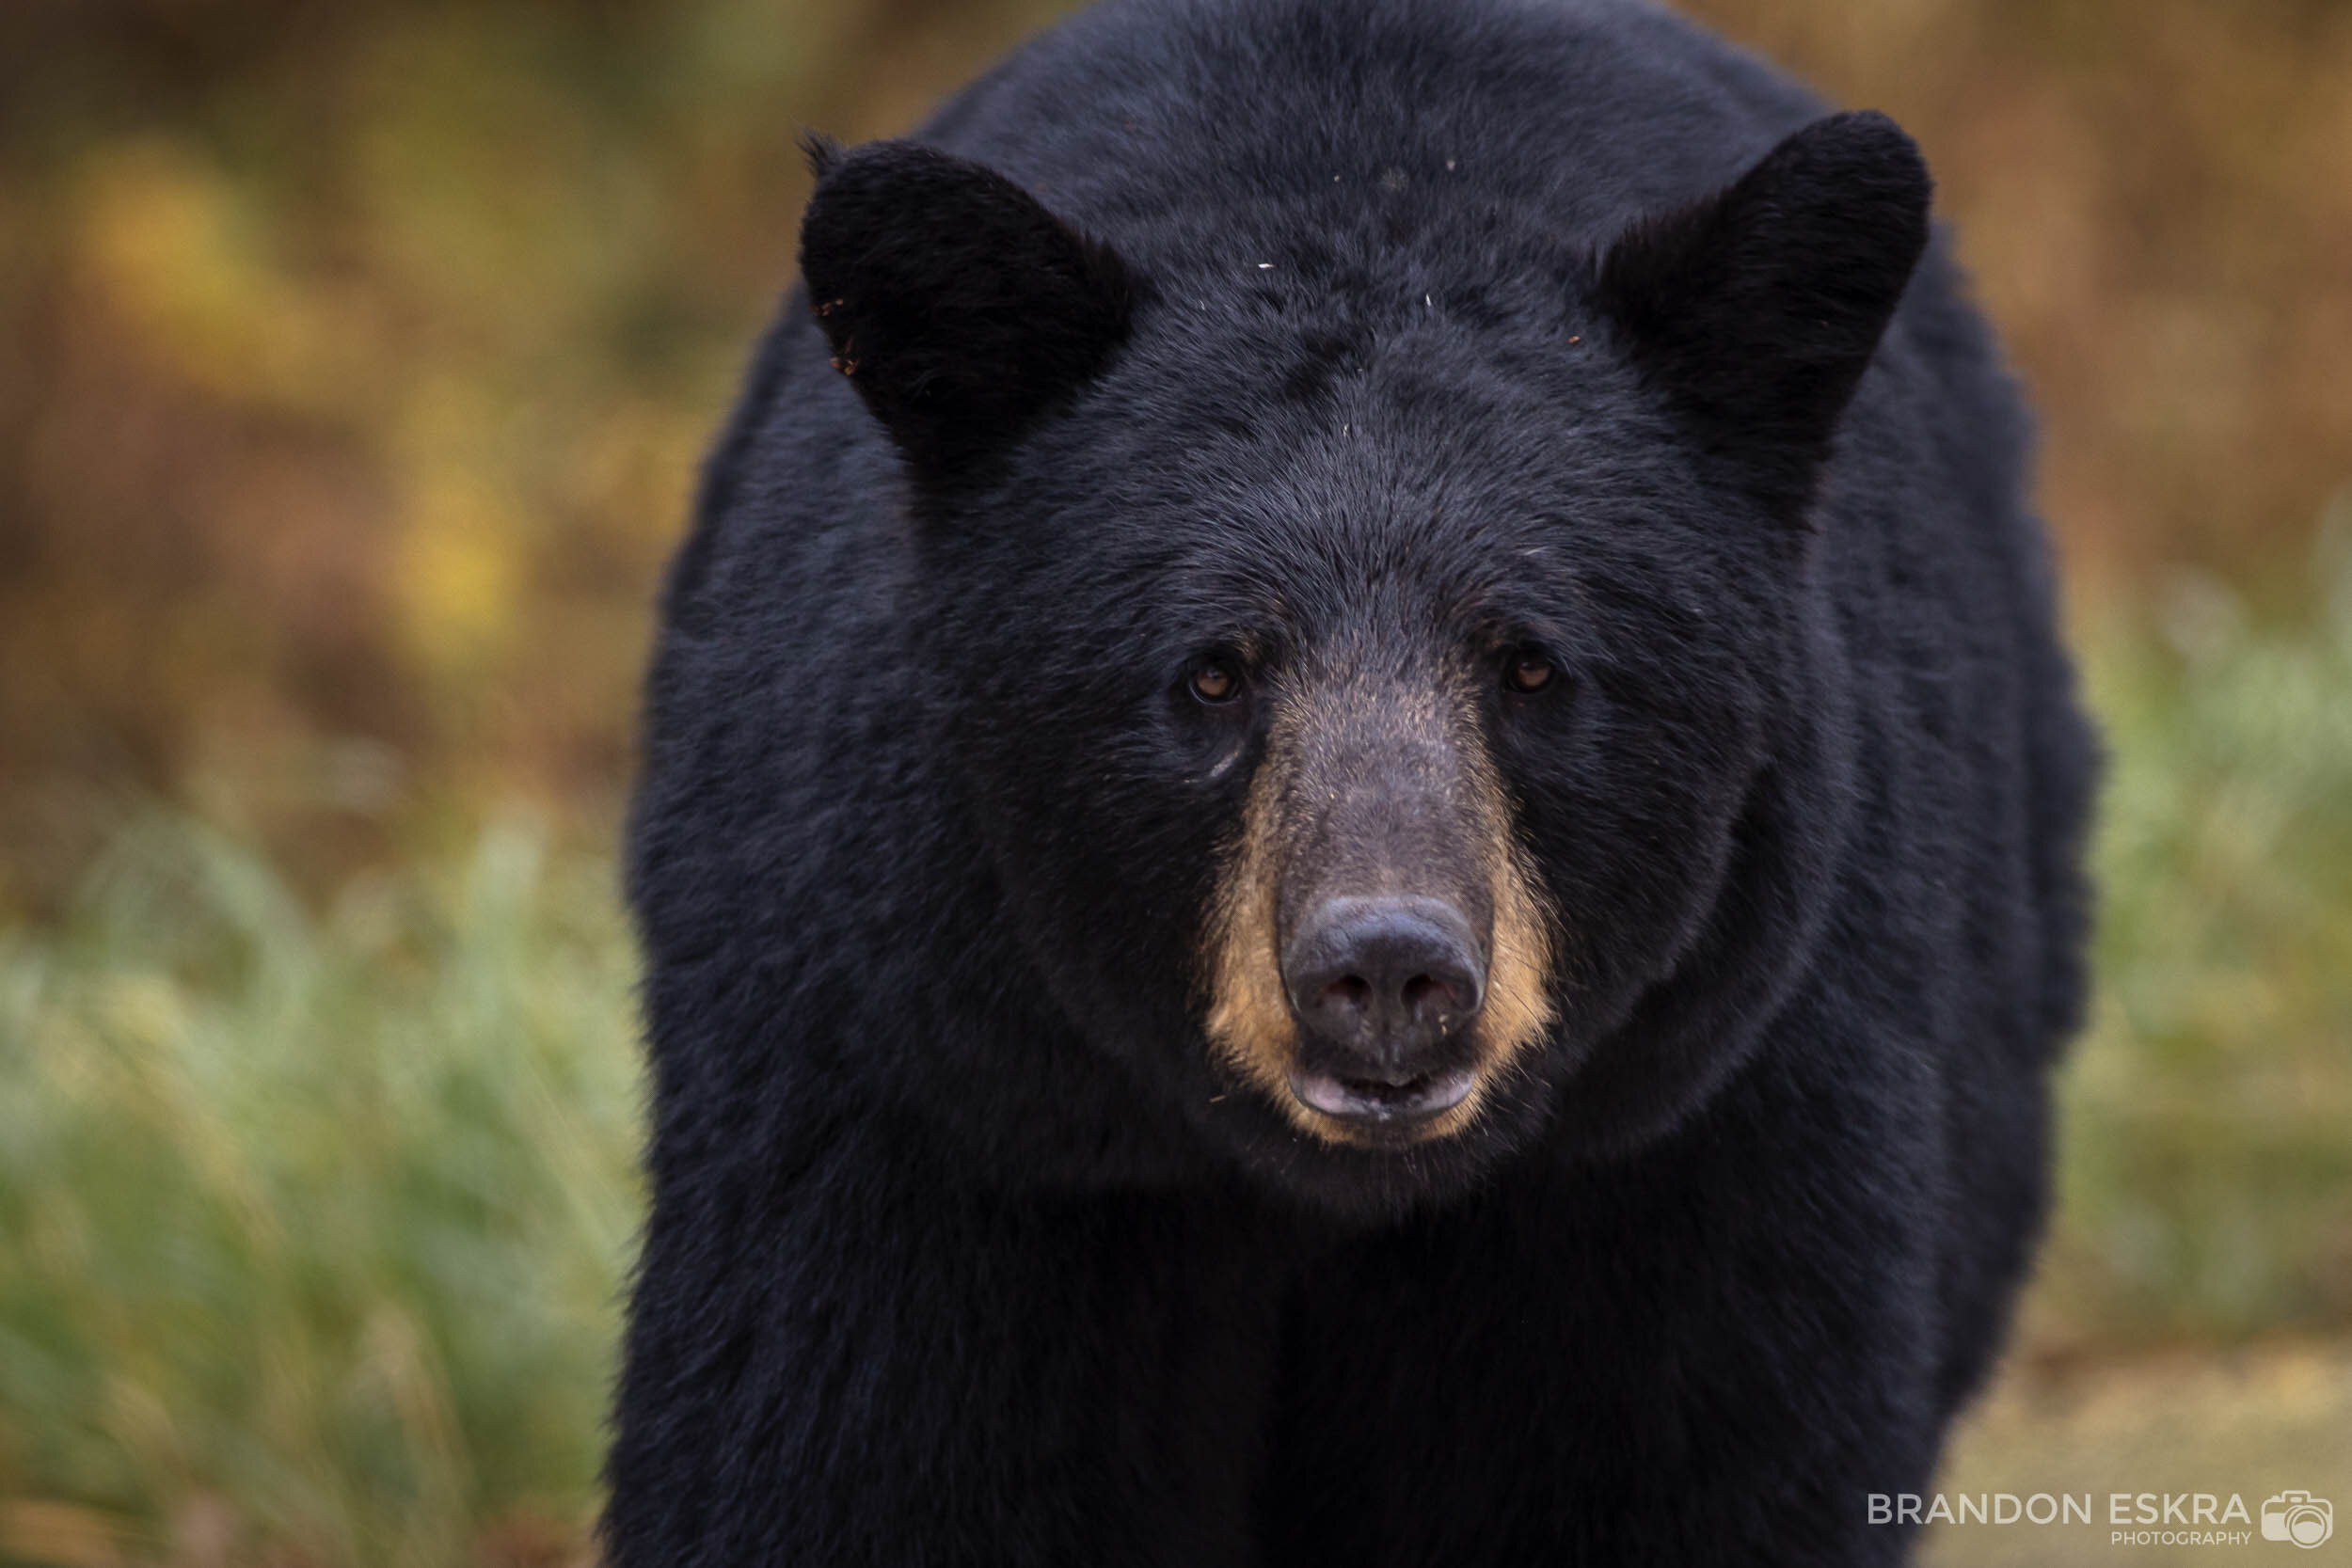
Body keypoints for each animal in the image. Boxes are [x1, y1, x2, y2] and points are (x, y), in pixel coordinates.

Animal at [607, 0, 2097, 1562]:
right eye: (1212, 673)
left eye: (1531, 666)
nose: (1385, 966)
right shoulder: (943, 1092)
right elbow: (852, 1449)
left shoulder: (1701, 1117)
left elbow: (1691, 1457)